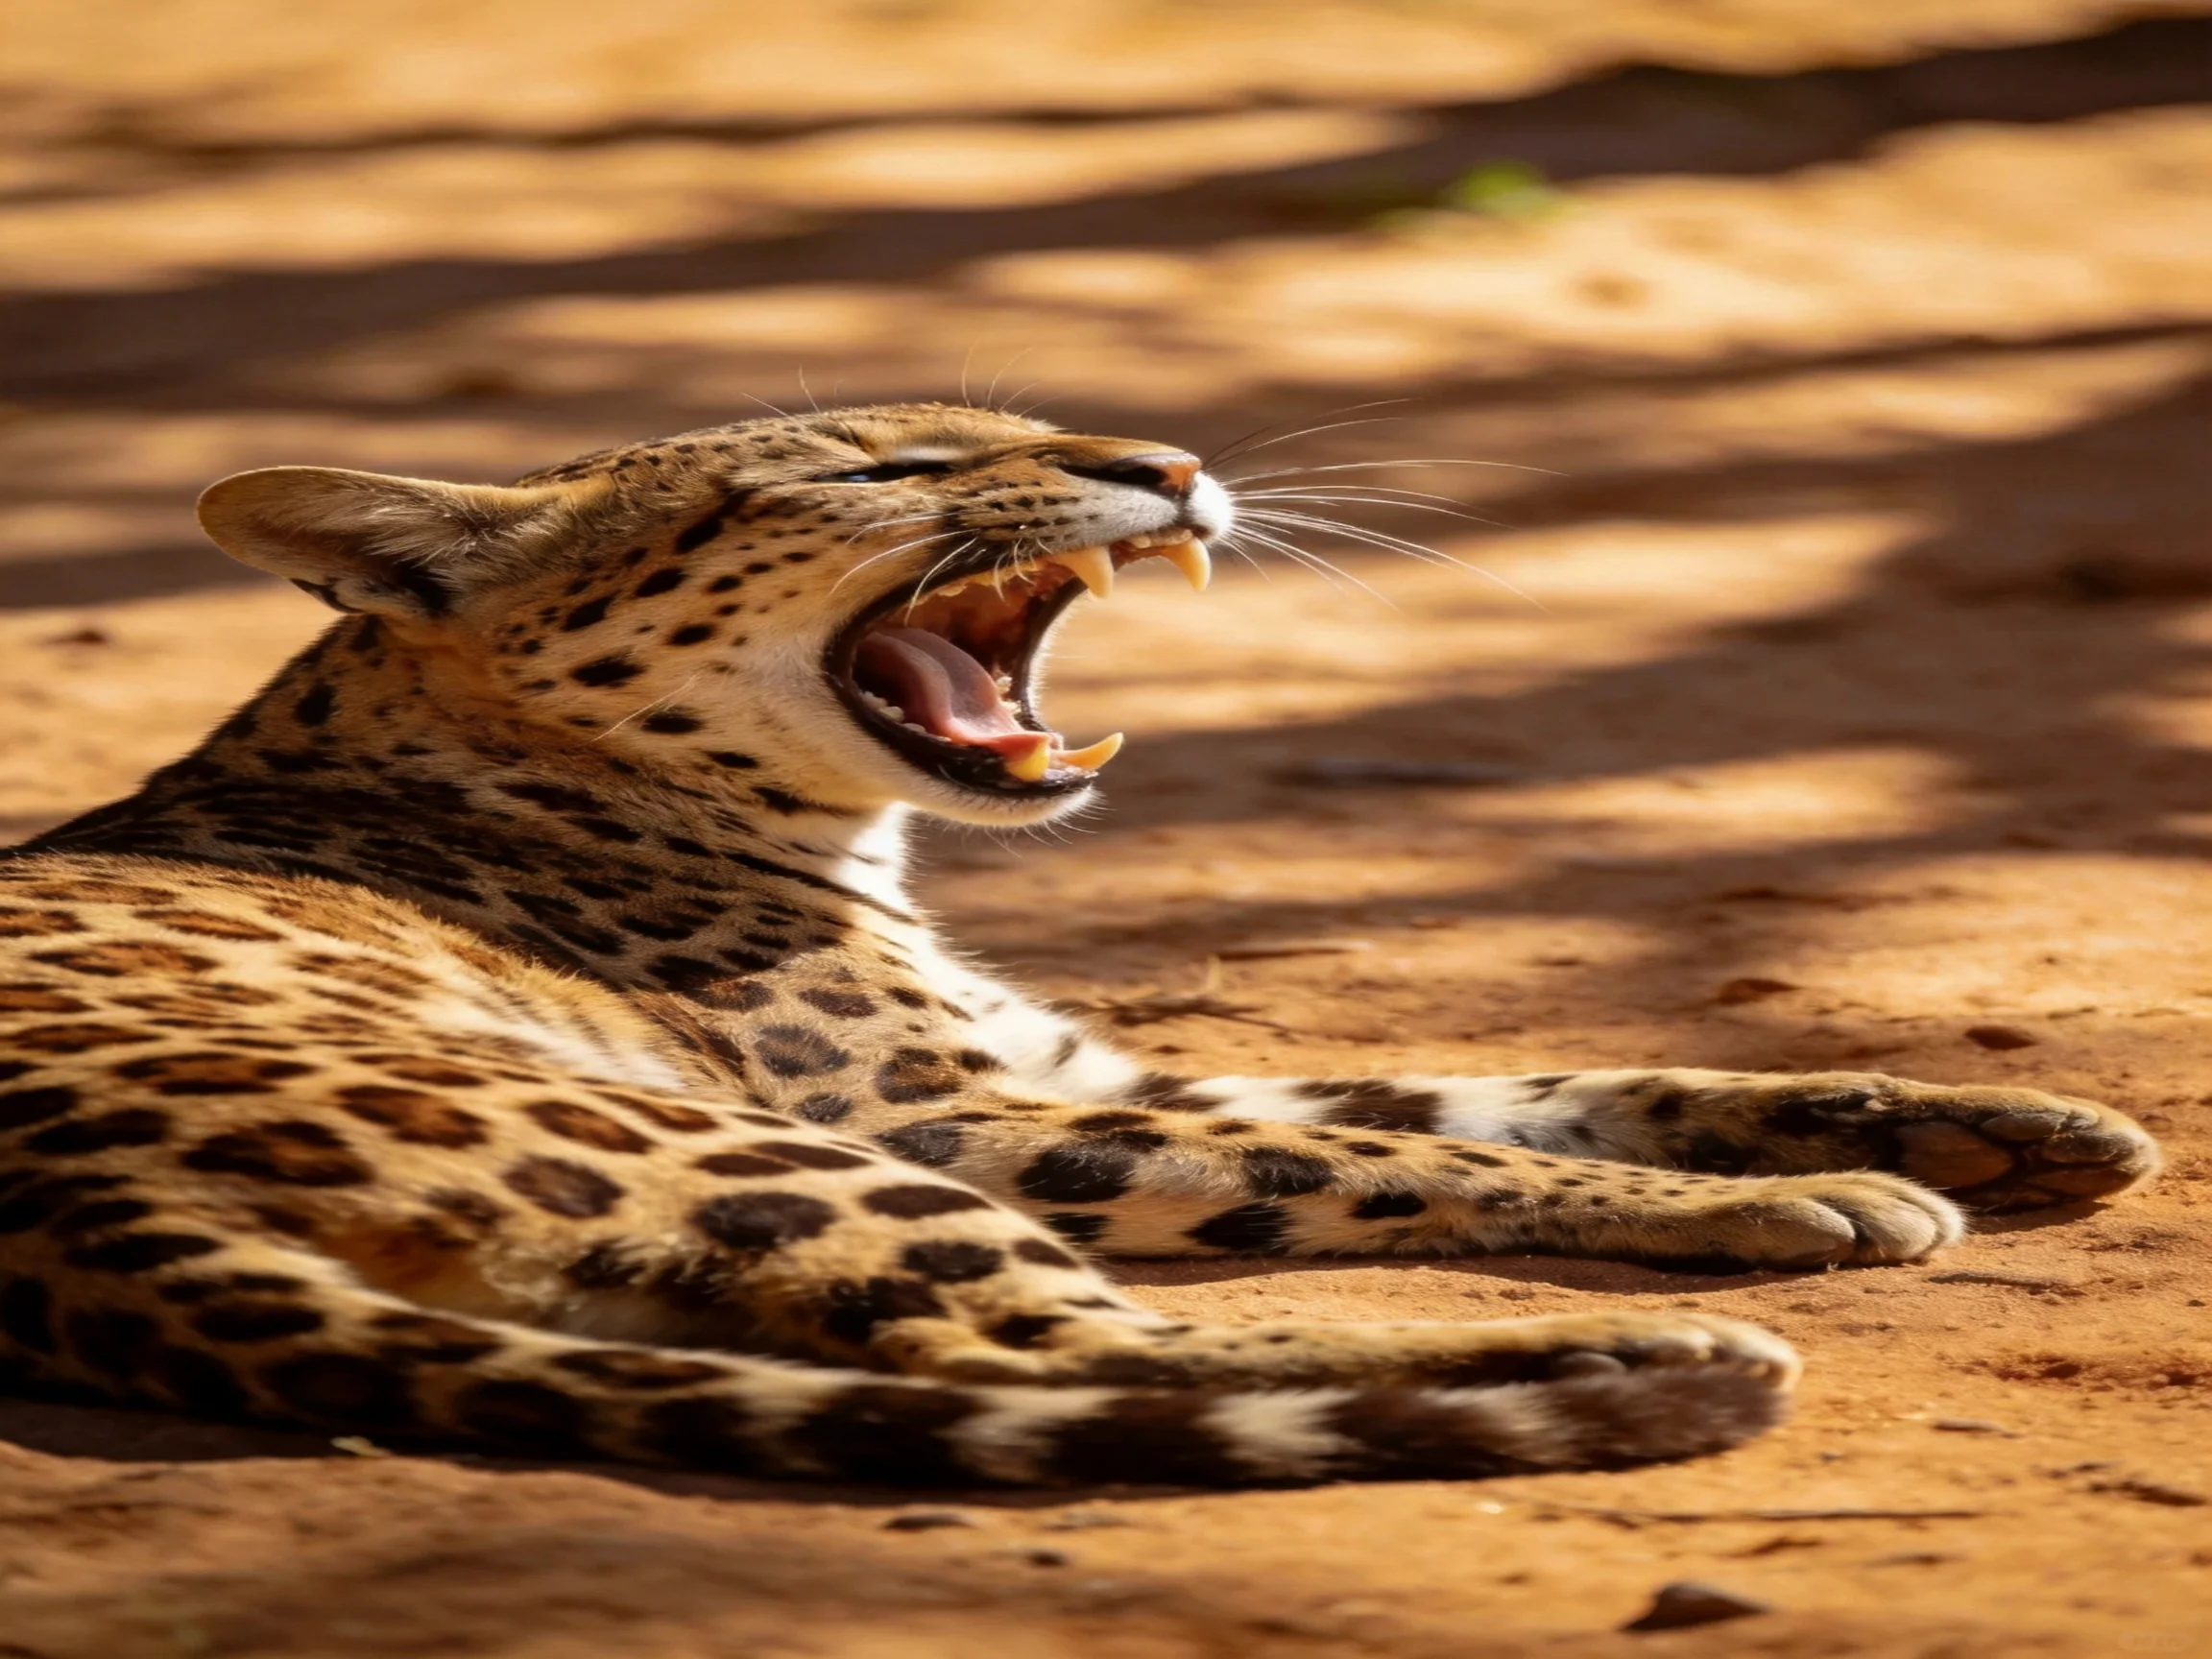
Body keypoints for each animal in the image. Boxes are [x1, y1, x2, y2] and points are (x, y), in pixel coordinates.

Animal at [0, 403, 2159, 1487]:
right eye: (881, 466)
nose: (1170, 471)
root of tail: (84, 1233)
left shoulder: (1066, 1065)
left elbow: (1528, 1084)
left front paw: (1990, 1122)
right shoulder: (950, 1113)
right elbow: (1385, 1148)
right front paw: (1820, 1203)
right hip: (771, 1154)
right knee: (1059, 1354)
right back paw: (1647, 1349)